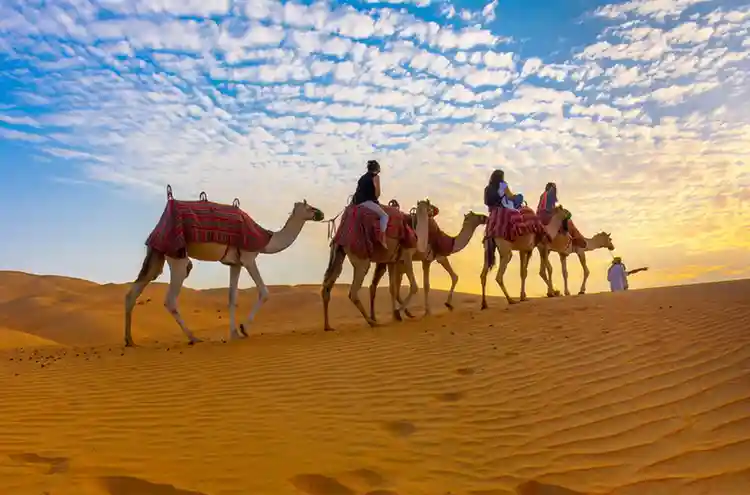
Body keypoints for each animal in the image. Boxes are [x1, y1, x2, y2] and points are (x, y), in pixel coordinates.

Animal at [124, 189, 324, 347]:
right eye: (309, 207)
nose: (321, 213)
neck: (266, 239)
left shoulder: (235, 263)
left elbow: (232, 298)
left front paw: (234, 333)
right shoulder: (249, 257)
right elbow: (264, 292)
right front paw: (243, 329)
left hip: (157, 254)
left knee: (133, 292)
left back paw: (129, 341)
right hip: (177, 257)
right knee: (170, 299)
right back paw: (194, 338)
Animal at [321, 200, 431, 331]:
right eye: (430, 206)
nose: (434, 211)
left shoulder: (392, 261)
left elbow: (393, 289)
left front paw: (395, 315)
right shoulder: (407, 255)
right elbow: (414, 286)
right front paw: (398, 313)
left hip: (338, 253)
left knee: (327, 285)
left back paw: (328, 326)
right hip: (361, 259)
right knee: (353, 292)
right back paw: (371, 322)